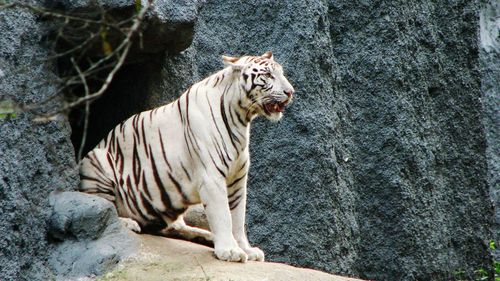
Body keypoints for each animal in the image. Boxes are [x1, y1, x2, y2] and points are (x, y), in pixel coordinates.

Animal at [79, 51, 292, 262]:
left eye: (281, 73)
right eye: (268, 75)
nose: (290, 92)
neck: (241, 118)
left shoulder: (237, 180)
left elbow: (238, 219)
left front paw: (246, 249)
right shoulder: (212, 178)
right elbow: (223, 215)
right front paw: (230, 251)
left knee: (174, 227)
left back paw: (206, 236)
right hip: (97, 161)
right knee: (104, 207)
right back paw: (128, 223)